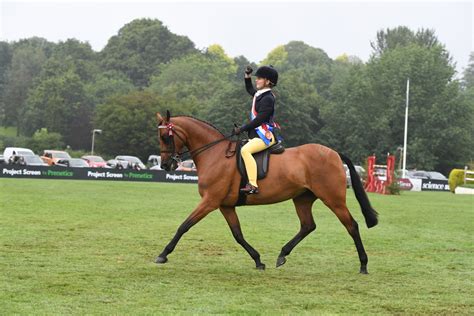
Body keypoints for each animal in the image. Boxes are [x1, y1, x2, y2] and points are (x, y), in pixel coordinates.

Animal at [155, 111, 378, 274]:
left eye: (165, 137)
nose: (166, 165)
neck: (215, 154)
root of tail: (334, 153)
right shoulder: (225, 205)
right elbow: (238, 234)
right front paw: (258, 260)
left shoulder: (210, 201)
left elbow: (184, 226)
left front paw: (163, 254)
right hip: (302, 199)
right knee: (308, 226)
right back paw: (282, 255)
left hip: (333, 199)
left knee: (351, 225)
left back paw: (364, 264)